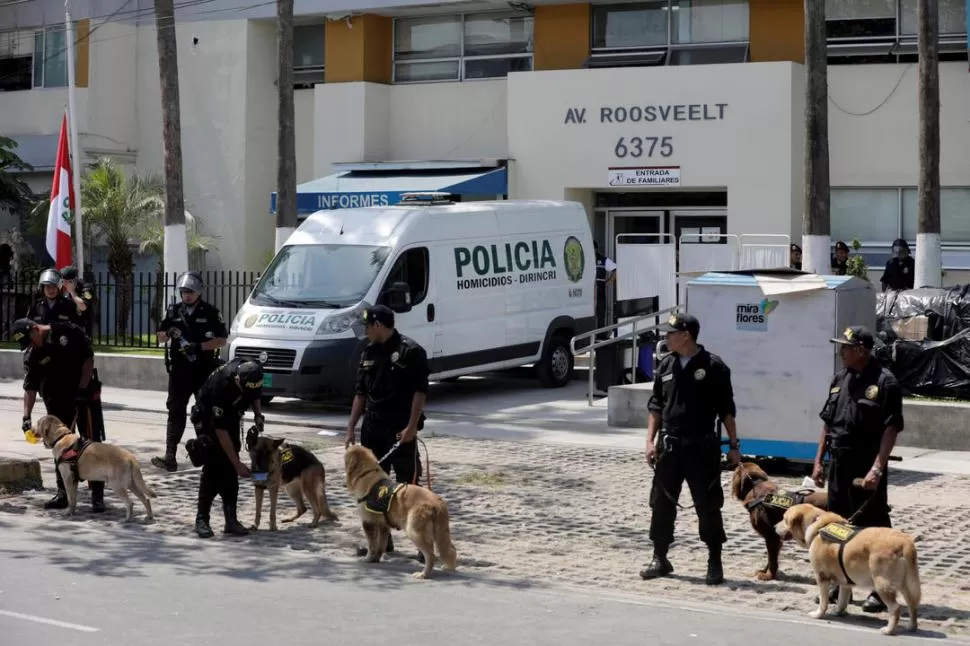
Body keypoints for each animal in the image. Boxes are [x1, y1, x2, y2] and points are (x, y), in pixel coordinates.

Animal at [344, 446, 458, 584]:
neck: (366, 473)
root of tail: (437, 502)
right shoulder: (383, 525)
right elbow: (380, 545)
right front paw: (376, 559)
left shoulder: (368, 522)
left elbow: (372, 545)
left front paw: (368, 558)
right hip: (441, 532)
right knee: (450, 549)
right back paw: (448, 567)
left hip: (414, 531)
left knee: (431, 555)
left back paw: (424, 574)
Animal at [776, 504, 920, 636]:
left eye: (784, 519)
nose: (774, 527)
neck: (818, 525)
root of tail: (904, 542)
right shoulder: (845, 582)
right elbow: (842, 600)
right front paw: (838, 611)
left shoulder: (821, 577)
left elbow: (823, 601)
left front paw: (819, 614)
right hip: (906, 585)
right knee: (912, 604)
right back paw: (912, 626)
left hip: (882, 584)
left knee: (895, 608)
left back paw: (889, 630)